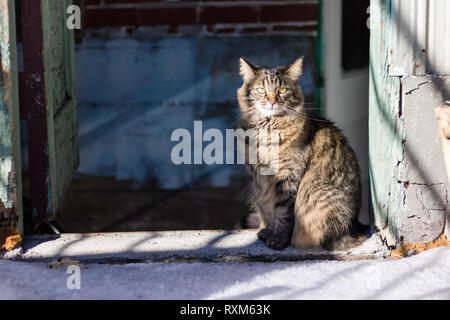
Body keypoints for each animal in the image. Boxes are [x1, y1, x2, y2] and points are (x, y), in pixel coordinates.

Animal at [236, 58, 366, 252]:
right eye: (261, 90)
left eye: (282, 91)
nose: (272, 102)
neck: (266, 131)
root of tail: (355, 226)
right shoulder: (260, 182)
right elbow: (269, 210)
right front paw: (268, 232)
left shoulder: (287, 176)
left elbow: (283, 214)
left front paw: (278, 240)